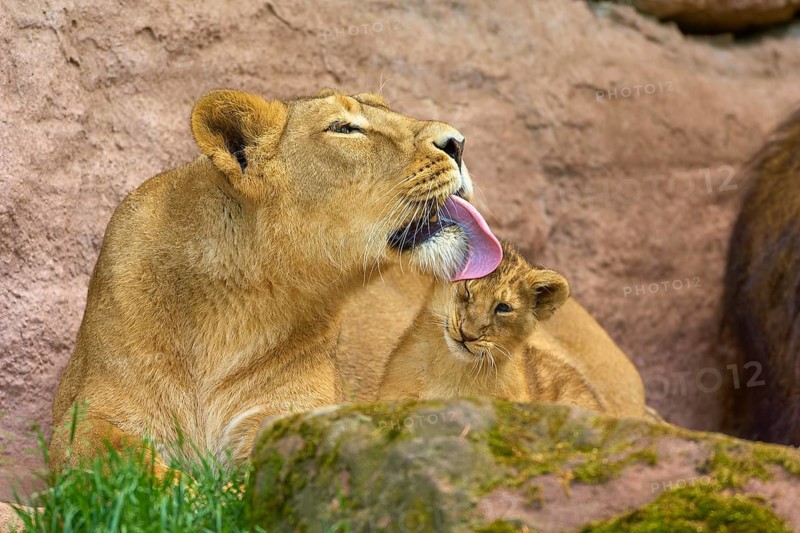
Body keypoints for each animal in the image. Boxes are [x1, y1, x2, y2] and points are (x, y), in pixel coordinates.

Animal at [49, 88, 504, 473]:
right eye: (344, 128)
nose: (458, 143)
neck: (233, 307)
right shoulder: (86, 415)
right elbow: (121, 460)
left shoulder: (296, 415)